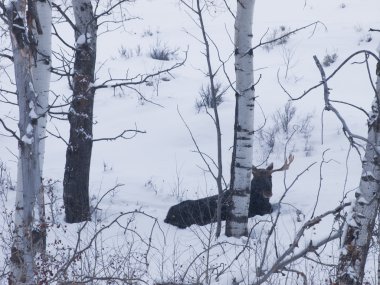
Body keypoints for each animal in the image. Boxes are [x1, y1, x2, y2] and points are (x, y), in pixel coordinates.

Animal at [163, 154, 294, 227]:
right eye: (256, 178)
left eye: (270, 177)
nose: (268, 193)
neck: (259, 203)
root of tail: (168, 216)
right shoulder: (252, 213)